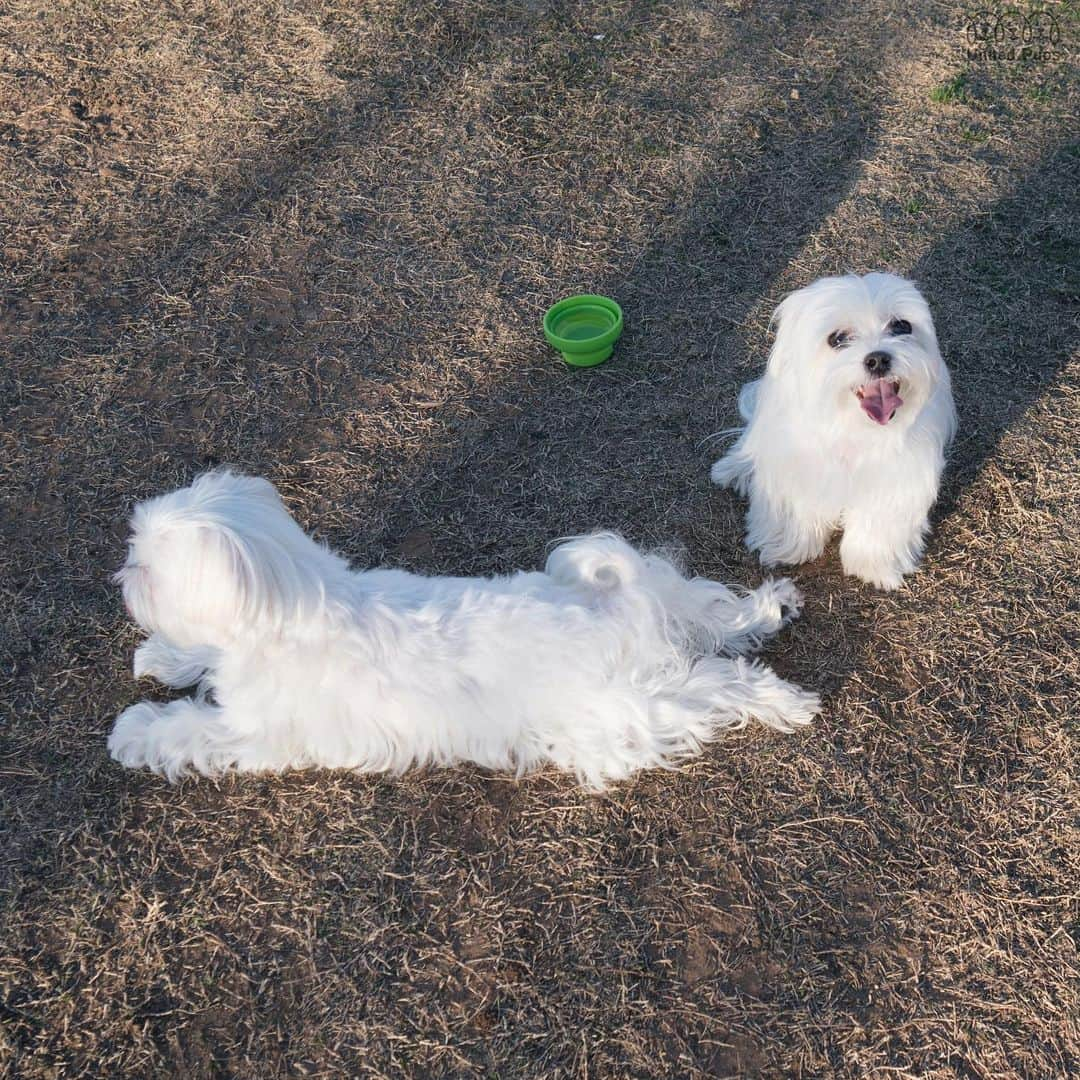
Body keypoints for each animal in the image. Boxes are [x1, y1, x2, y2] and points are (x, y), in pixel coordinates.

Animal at [109, 473, 816, 786]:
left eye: (146, 568)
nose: (121, 573)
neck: (297, 603)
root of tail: (613, 611)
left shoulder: (258, 733)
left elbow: (188, 729)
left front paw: (135, 730)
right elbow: (203, 654)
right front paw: (165, 657)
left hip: (631, 713)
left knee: (719, 686)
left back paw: (783, 699)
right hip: (653, 596)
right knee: (706, 610)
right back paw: (769, 607)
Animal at [712, 270, 959, 591]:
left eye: (901, 326)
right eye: (837, 339)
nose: (878, 359)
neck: (854, 428)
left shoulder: (896, 481)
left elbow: (878, 524)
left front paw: (873, 565)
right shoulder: (797, 467)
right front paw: (786, 547)